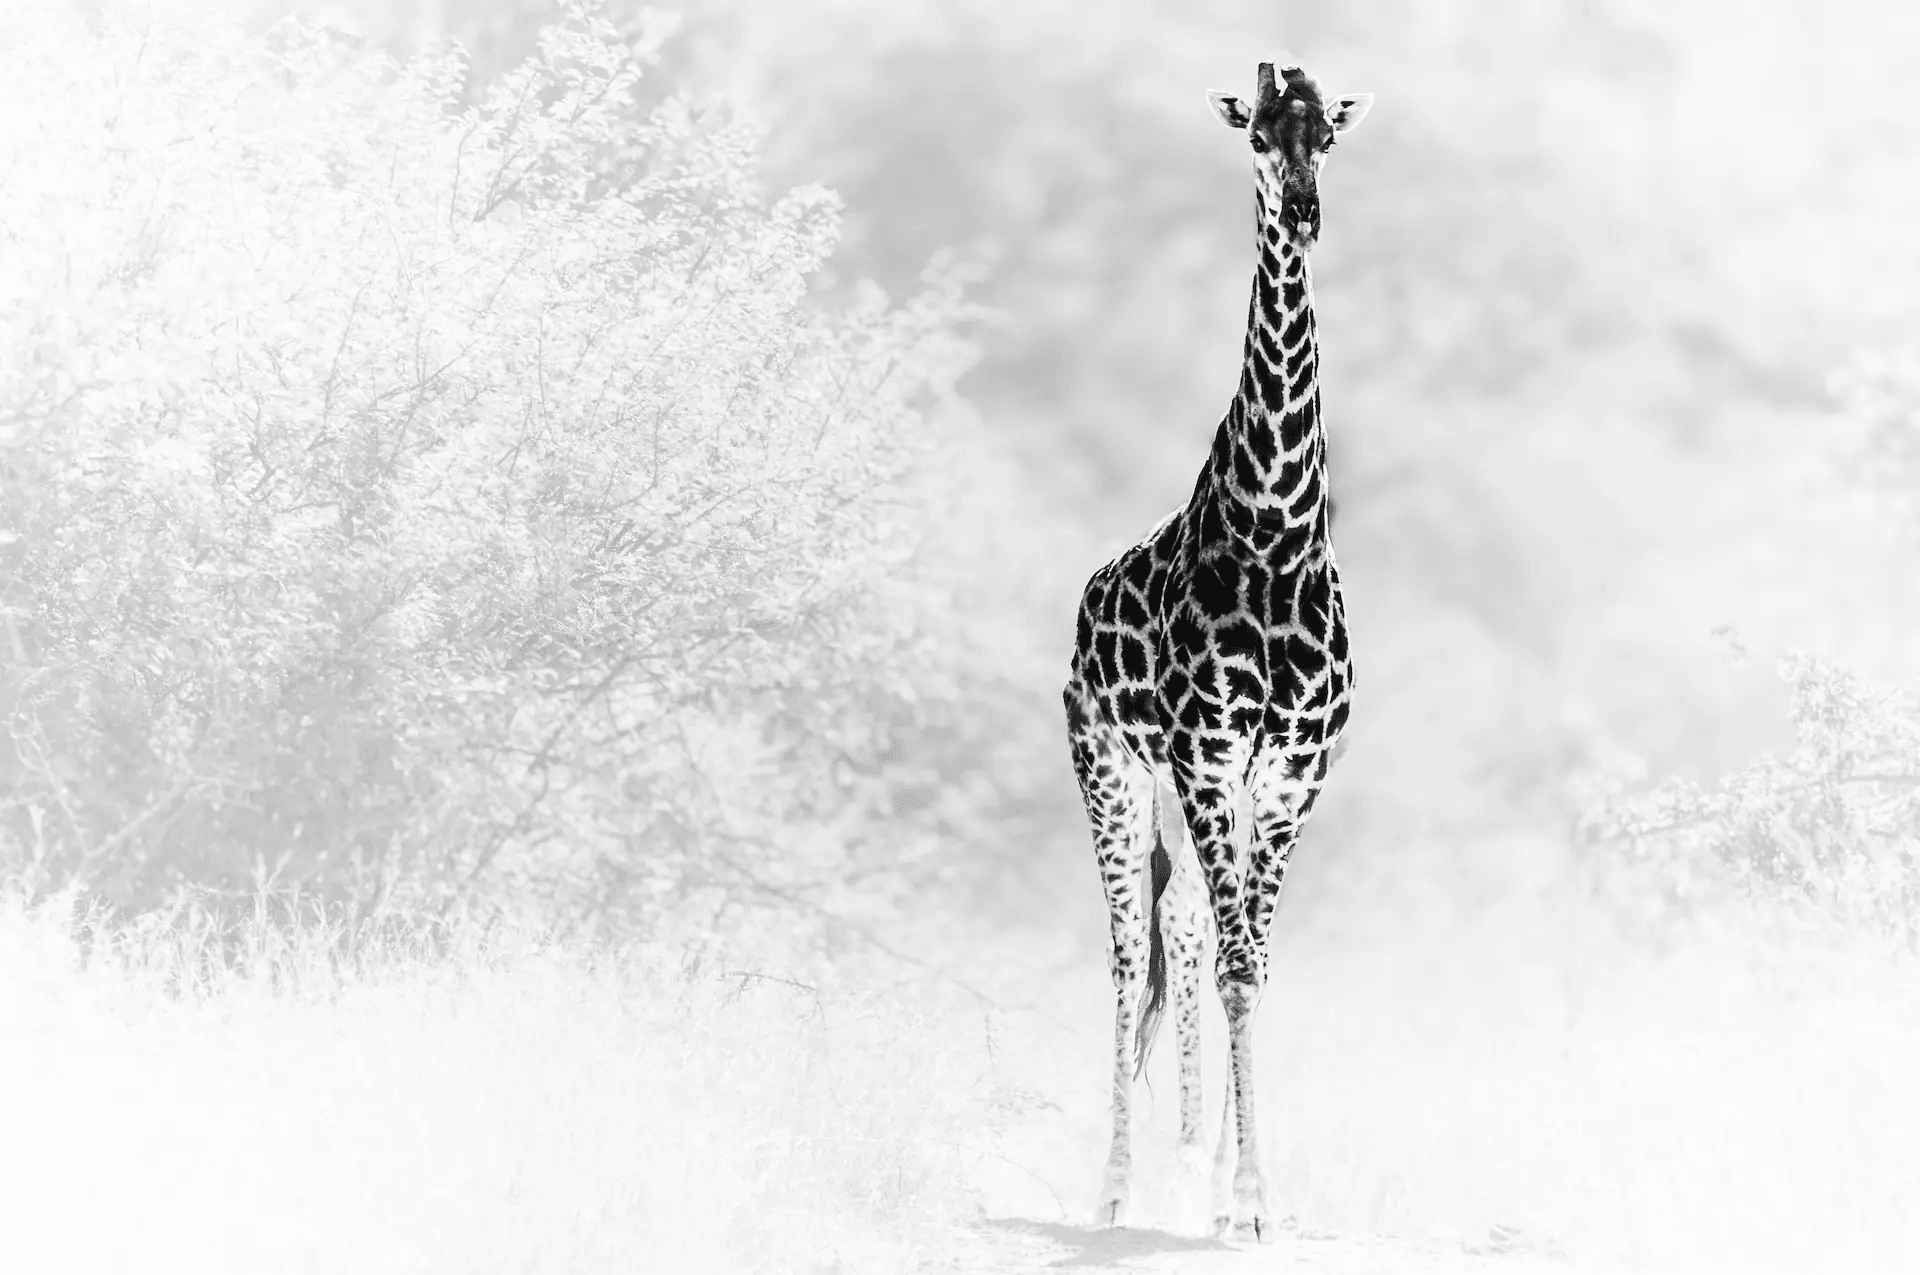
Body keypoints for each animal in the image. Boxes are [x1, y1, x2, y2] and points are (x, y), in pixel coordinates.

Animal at [1059, 62, 1374, 1244]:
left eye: (1327, 136)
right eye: (1257, 138)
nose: (1306, 214)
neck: (1279, 531)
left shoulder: (1289, 768)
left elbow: (1250, 963)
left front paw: (1241, 1189)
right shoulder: (1204, 749)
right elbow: (1227, 958)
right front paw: (1241, 1195)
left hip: (1190, 789)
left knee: (1185, 925)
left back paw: (1184, 1164)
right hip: (1113, 767)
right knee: (1127, 950)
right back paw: (1113, 1187)